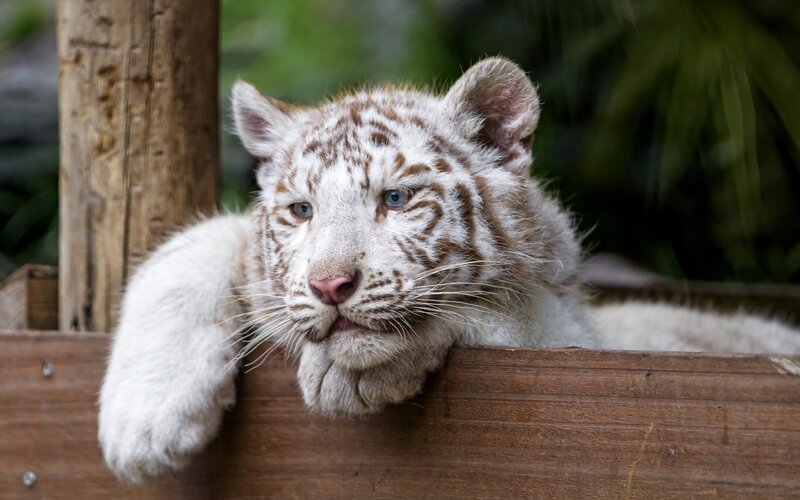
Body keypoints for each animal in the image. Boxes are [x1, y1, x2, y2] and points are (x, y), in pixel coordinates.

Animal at [98, 57, 800, 484]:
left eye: (395, 199)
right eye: (301, 211)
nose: (329, 286)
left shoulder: (583, 348)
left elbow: (506, 312)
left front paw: (356, 370)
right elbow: (196, 241)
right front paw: (143, 422)